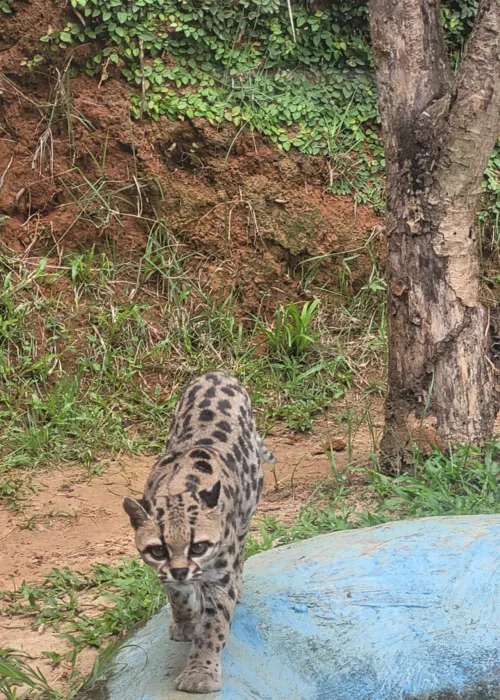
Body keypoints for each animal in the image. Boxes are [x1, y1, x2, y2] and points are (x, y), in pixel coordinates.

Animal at [122, 372, 276, 696]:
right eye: (158, 550)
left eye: (198, 547)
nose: (181, 571)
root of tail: (217, 373)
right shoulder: (167, 574)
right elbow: (179, 599)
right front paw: (185, 622)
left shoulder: (219, 576)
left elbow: (213, 625)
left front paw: (200, 672)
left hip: (247, 512)